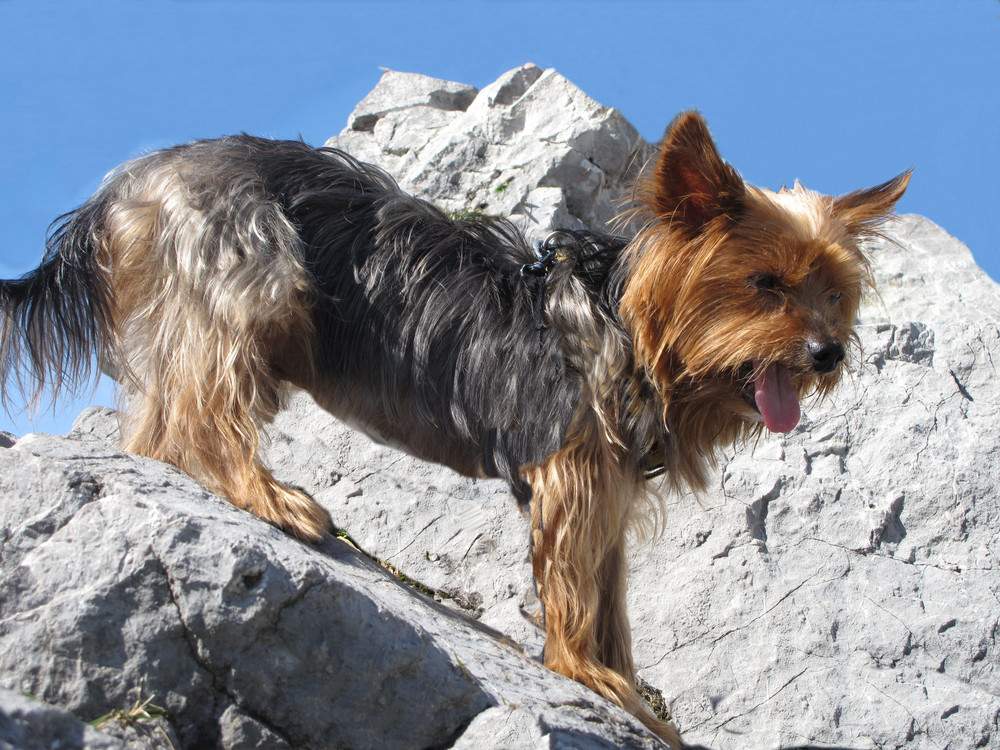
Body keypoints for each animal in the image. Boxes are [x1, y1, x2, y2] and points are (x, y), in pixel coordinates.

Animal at [0, 111, 908, 748]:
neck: (632, 325)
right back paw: (269, 495)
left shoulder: (609, 493)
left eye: (834, 293)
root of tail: (128, 184)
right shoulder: (573, 476)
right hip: (250, 272)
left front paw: (624, 685)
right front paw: (583, 672)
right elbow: (573, 592)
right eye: (764, 284)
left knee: (156, 427)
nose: (828, 354)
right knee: (196, 417)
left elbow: (611, 602)